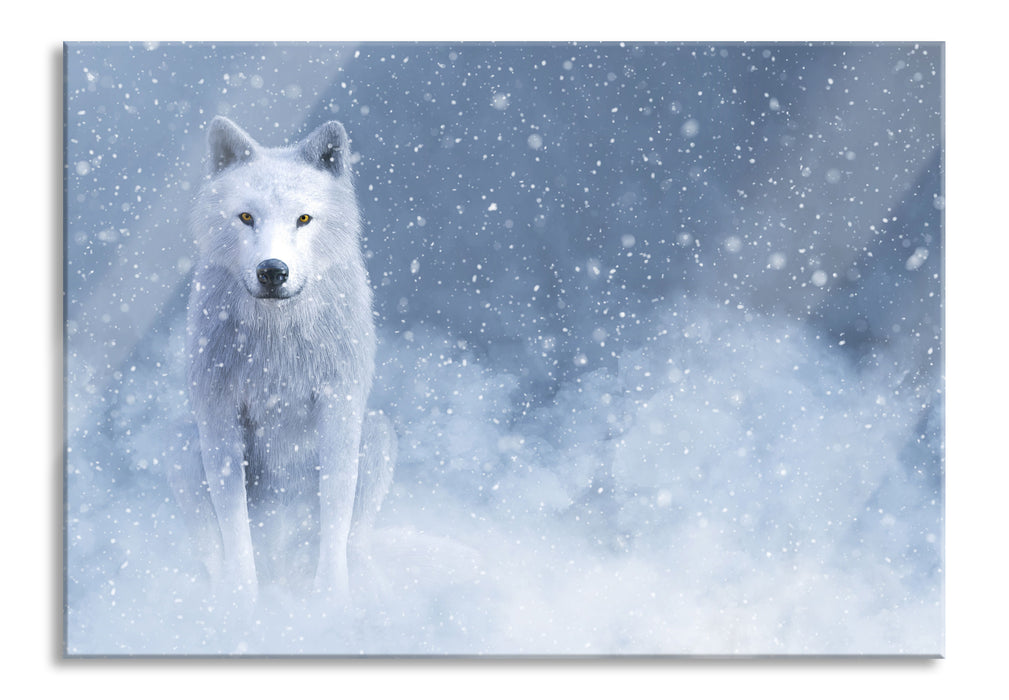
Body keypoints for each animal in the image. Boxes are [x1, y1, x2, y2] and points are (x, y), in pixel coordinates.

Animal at [169, 116, 394, 607]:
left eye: (303, 218)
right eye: (246, 217)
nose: (273, 271)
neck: (277, 342)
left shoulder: (339, 410)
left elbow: (335, 512)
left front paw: (330, 601)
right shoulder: (219, 416)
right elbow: (234, 525)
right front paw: (244, 604)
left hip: (377, 433)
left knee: (356, 539)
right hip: (183, 448)